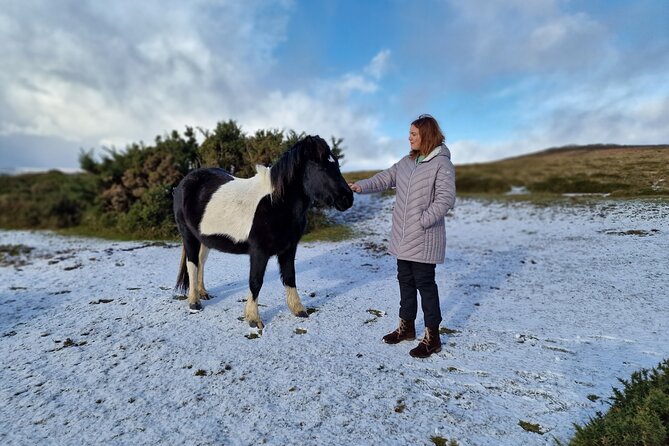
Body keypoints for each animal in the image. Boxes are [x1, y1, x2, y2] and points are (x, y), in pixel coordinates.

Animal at [172, 135, 352, 328]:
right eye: (320, 166)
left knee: (201, 262)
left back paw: (203, 293)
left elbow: (290, 277)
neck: (275, 202)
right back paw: (194, 302)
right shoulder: (259, 252)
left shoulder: (289, 248)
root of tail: (184, 183)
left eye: (336, 163)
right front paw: (253, 318)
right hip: (188, 235)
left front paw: (298, 310)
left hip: (204, 239)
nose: (348, 199)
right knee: (192, 264)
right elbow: (256, 281)